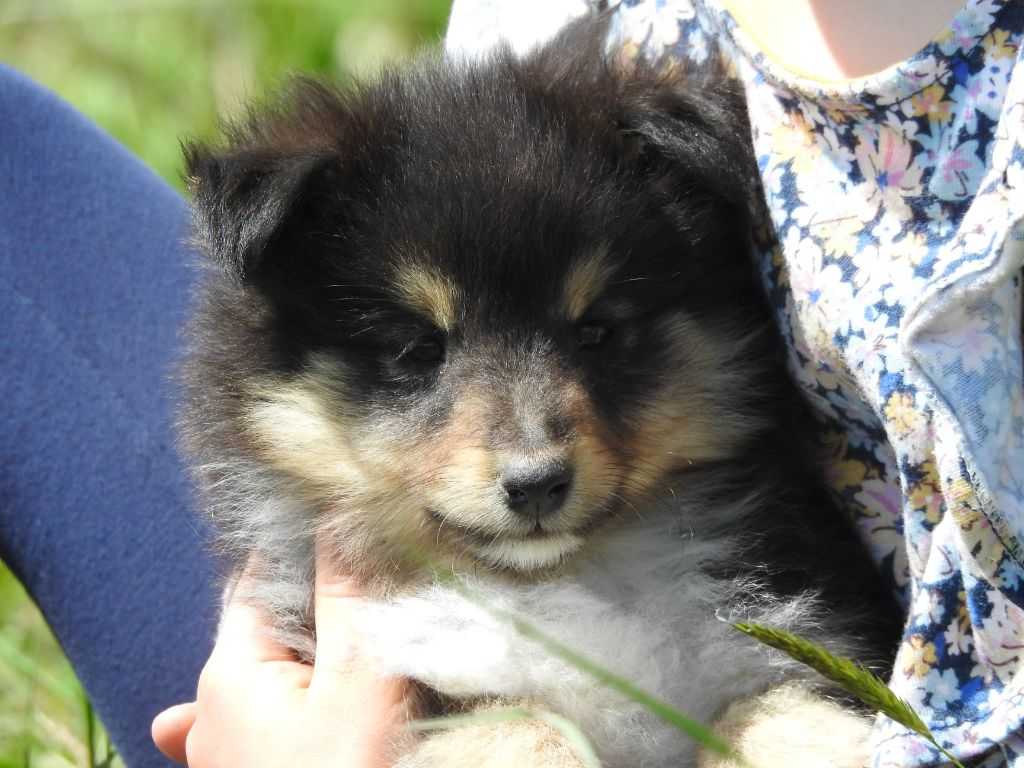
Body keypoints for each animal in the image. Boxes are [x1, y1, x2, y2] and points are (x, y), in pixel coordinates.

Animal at [180, 18, 901, 768]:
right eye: (419, 349)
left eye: (597, 330)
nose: (536, 486)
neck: (562, 579)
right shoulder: (434, 680)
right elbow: (520, 728)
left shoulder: (773, 641)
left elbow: (770, 711)